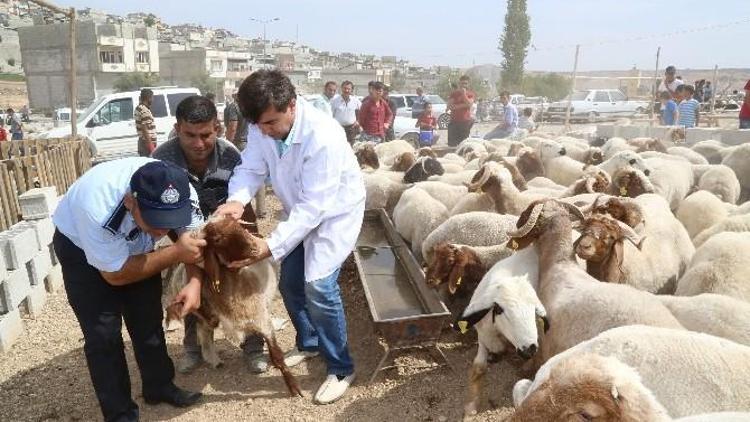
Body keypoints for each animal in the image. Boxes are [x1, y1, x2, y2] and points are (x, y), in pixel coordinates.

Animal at [166, 216, 304, 398]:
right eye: (217, 239)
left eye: (239, 227)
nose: (254, 247)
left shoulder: (263, 322)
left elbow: (277, 357)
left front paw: (294, 387)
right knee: (205, 329)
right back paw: (213, 358)